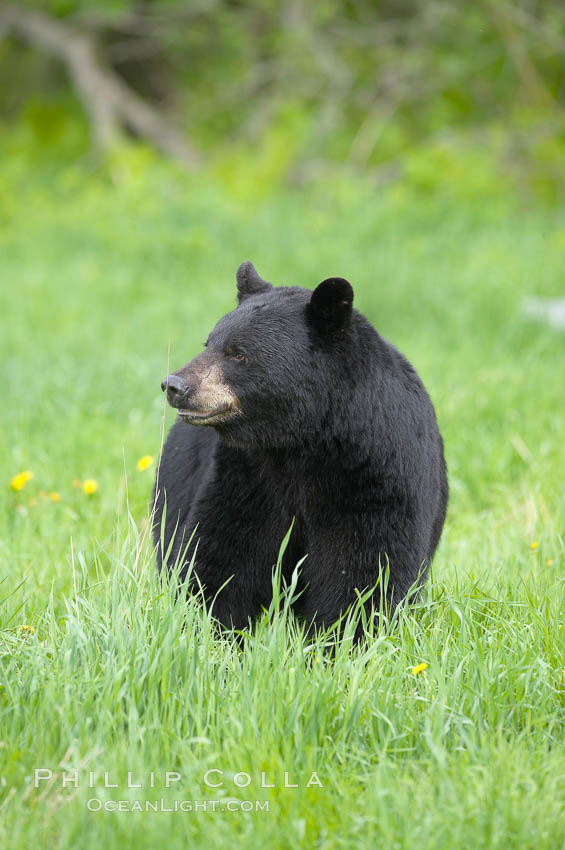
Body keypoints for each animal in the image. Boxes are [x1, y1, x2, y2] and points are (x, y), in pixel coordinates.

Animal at [152, 262, 448, 632]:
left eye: (238, 353)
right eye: (208, 342)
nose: (174, 385)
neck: (302, 442)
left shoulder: (380, 473)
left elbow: (366, 567)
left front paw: (340, 638)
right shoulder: (246, 474)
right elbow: (223, 553)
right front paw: (213, 630)